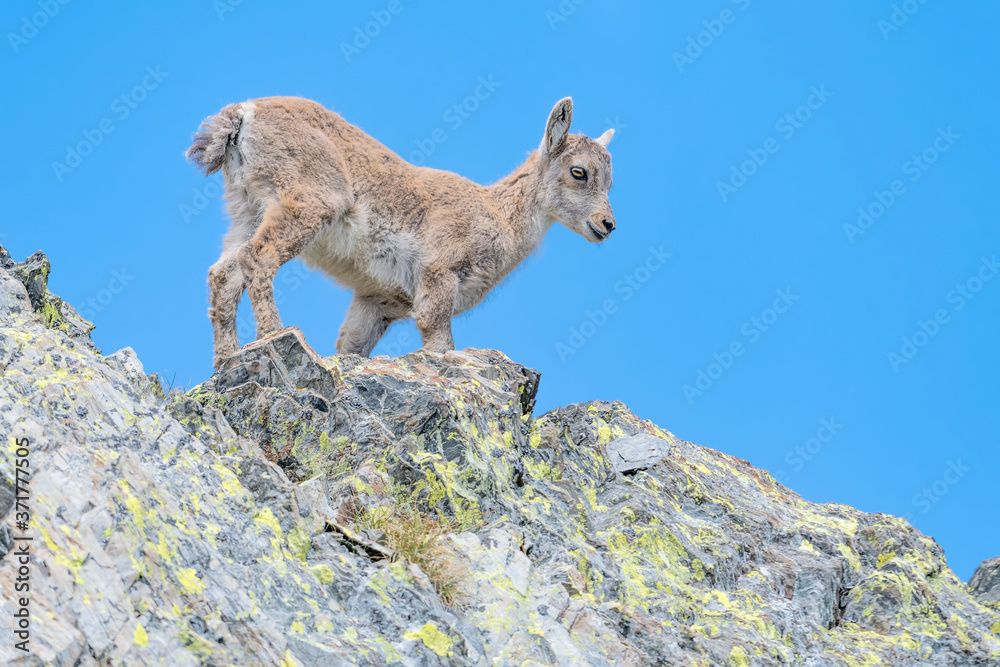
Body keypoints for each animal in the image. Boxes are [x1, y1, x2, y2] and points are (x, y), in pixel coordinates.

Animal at [187, 96, 616, 367]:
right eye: (579, 172)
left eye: (611, 179)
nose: (607, 225)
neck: (499, 215)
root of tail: (244, 114)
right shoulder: (439, 277)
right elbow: (440, 342)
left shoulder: (378, 301)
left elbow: (350, 346)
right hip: (309, 201)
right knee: (257, 257)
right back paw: (277, 335)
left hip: (248, 209)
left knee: (222, 274)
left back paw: (226, 359)